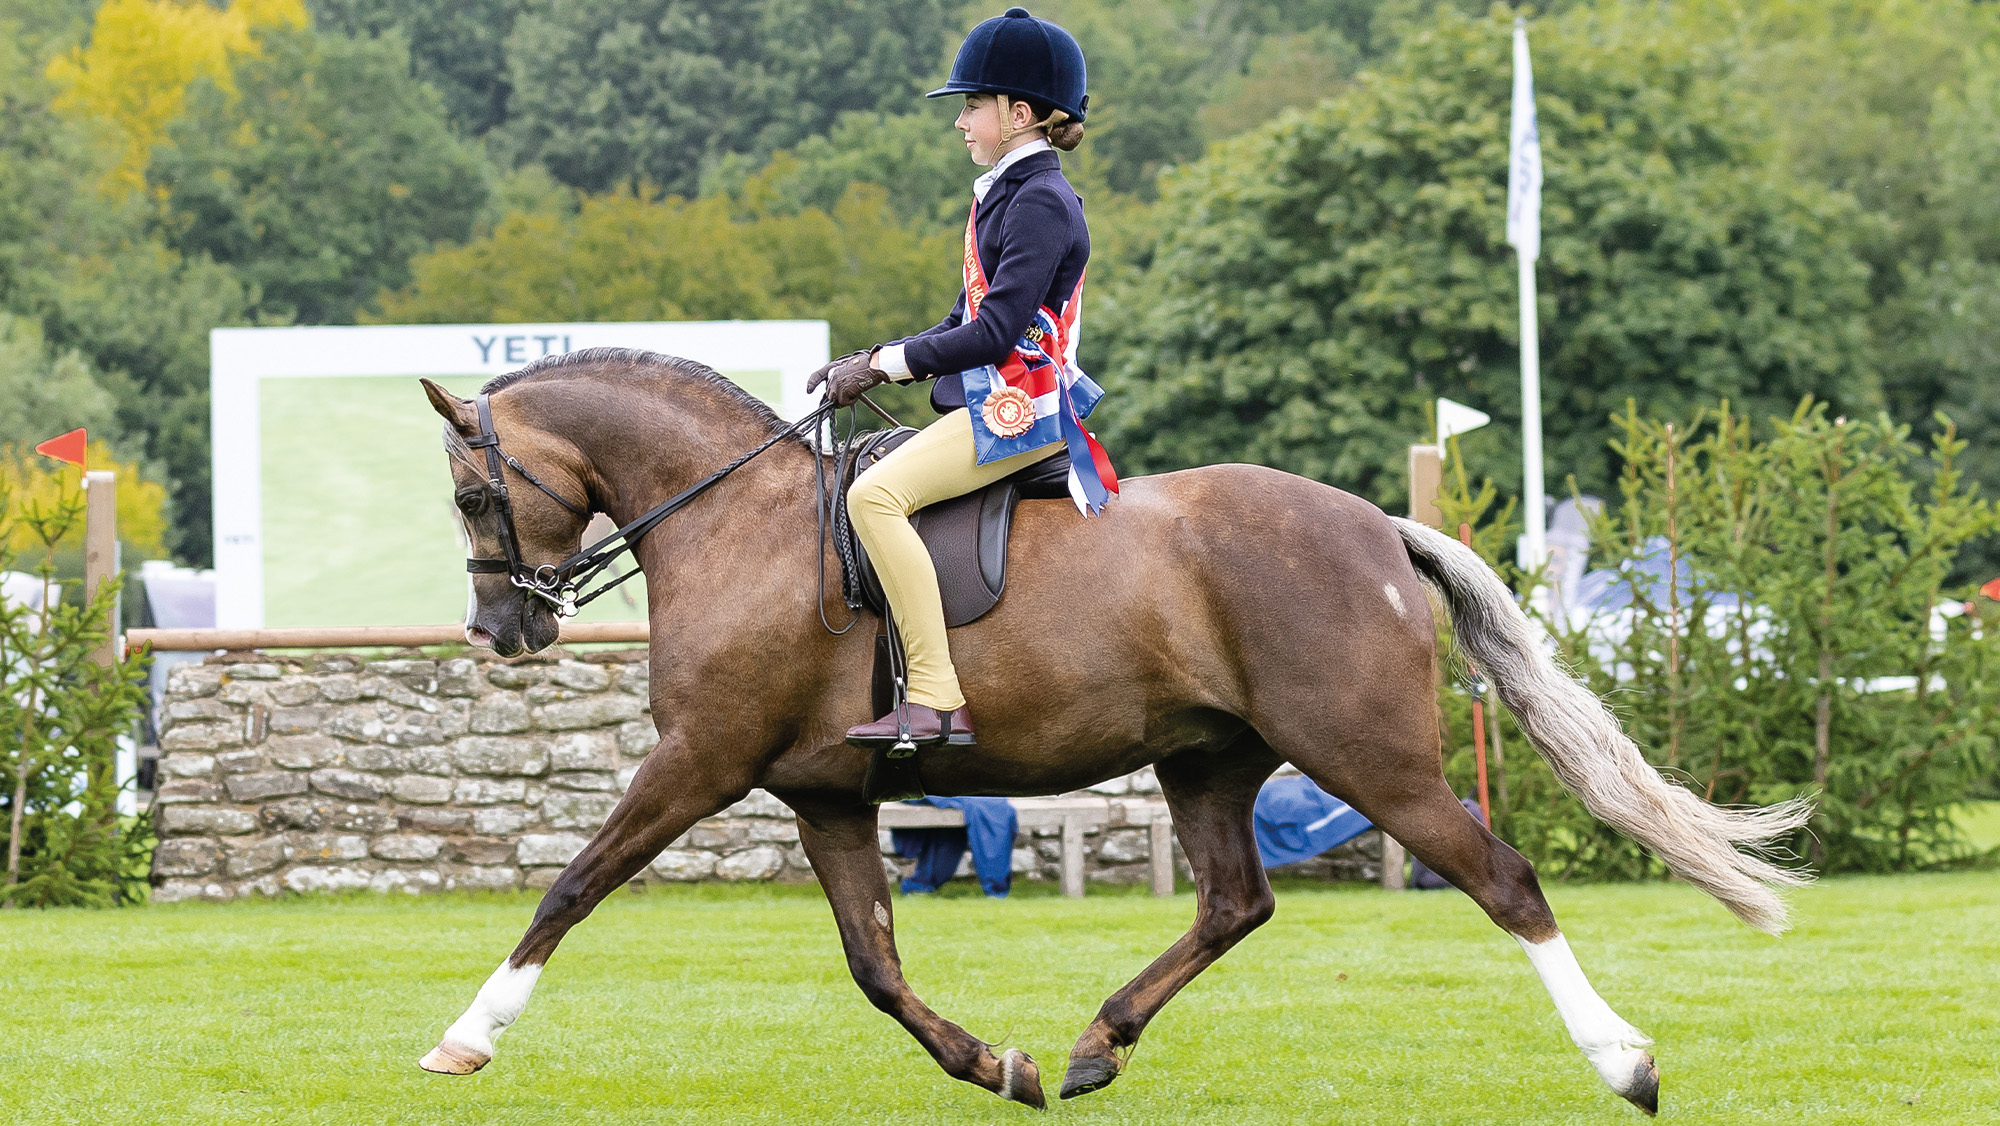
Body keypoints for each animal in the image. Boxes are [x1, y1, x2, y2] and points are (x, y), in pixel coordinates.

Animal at [413, 348, 1810, 1113]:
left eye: (475, 495)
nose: (499, 631)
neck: (733, 522)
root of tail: (1377, 525)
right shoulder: (826, 798)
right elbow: (875, 966)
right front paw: (998, 1065)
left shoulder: (696, 765)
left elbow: (569, 887)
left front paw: (466, 1036)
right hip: (1205, 759)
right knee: (1236, 901)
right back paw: (1093, 1048)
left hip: (1371, 757)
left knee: (1500, 878)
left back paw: (1622, 1061)